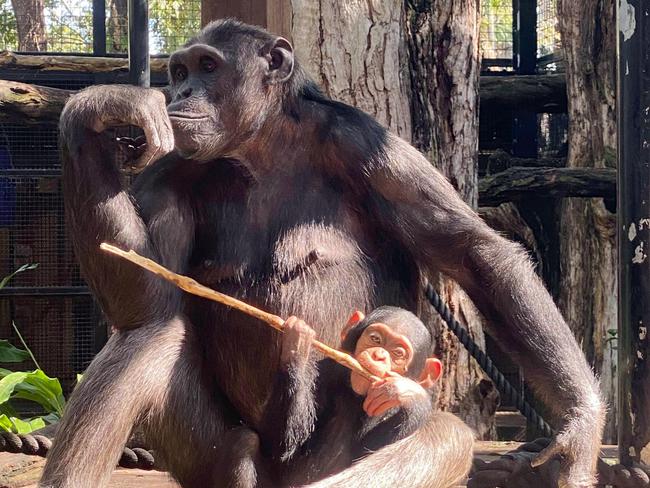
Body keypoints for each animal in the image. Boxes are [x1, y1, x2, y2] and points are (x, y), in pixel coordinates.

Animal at [220, 306, 468, 486]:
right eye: (375, 338)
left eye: (398, 353)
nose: (379, 355)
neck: (354, 397)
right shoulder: (323, 375)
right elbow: (278, 447)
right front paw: (297, 341)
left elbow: (380, 456)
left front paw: (407, 393)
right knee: (243, 441)